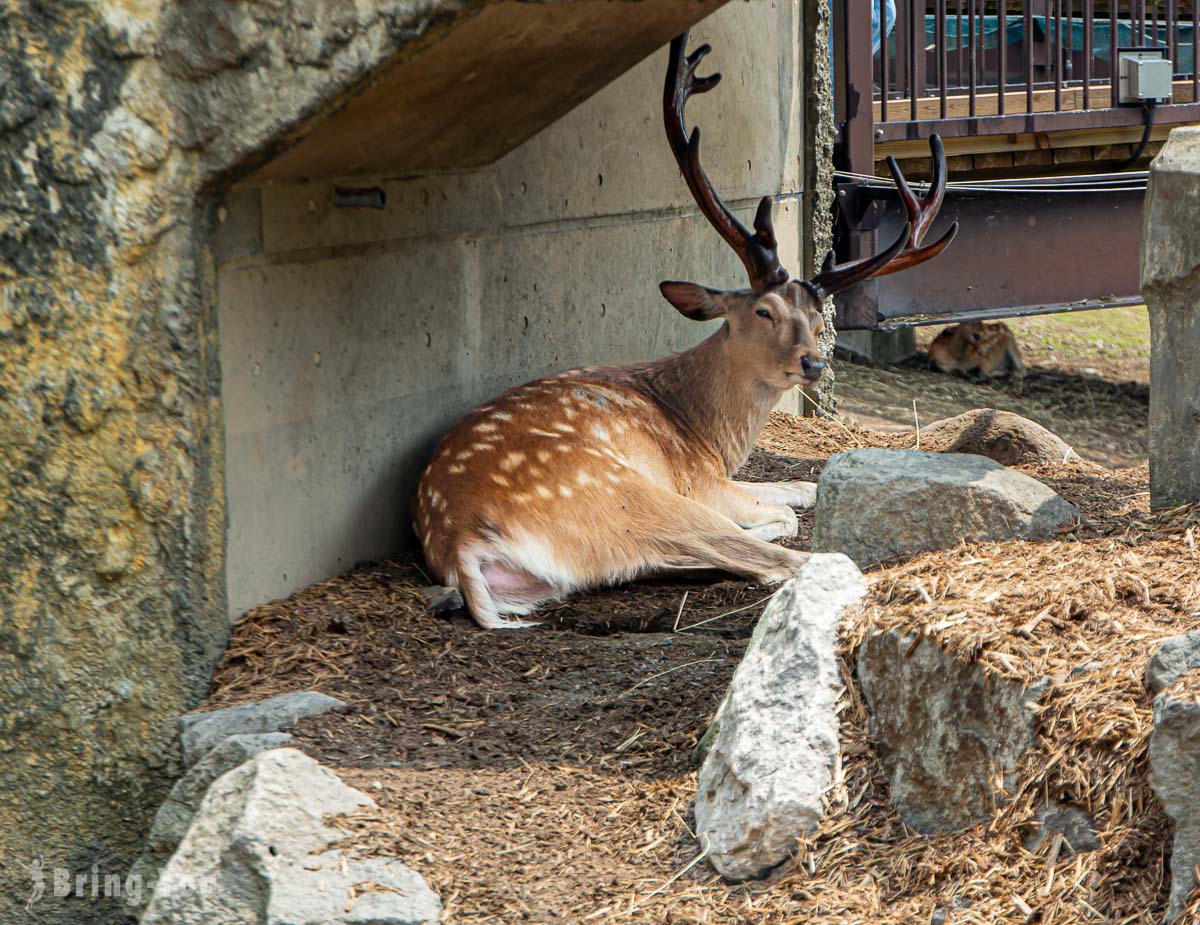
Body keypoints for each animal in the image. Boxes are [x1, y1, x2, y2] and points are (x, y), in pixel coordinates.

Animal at [412, 34, 955, 628]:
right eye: (763, 311)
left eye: (817, 319)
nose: (813, 362)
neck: (707, 434)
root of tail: (461, 542)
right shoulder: (698, 477)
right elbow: (783, 508)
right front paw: (774, 514)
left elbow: (801, 484)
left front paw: (796, 492)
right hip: (632, 493)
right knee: (768, 557)